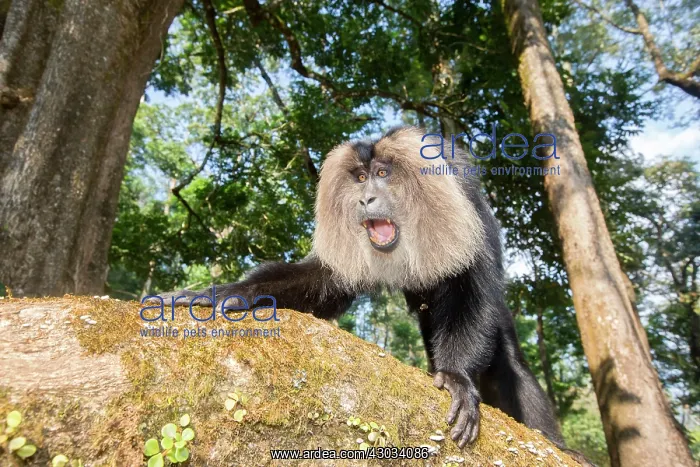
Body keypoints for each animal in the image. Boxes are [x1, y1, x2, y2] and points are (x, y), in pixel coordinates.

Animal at [155, 126, 563, 448]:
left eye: (382, 173)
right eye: (360, 177)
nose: (366, 198)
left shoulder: (466, 206)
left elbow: (472, 293)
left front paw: (458, 379)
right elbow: (324, 282)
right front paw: (227, 293)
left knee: (509, 361)